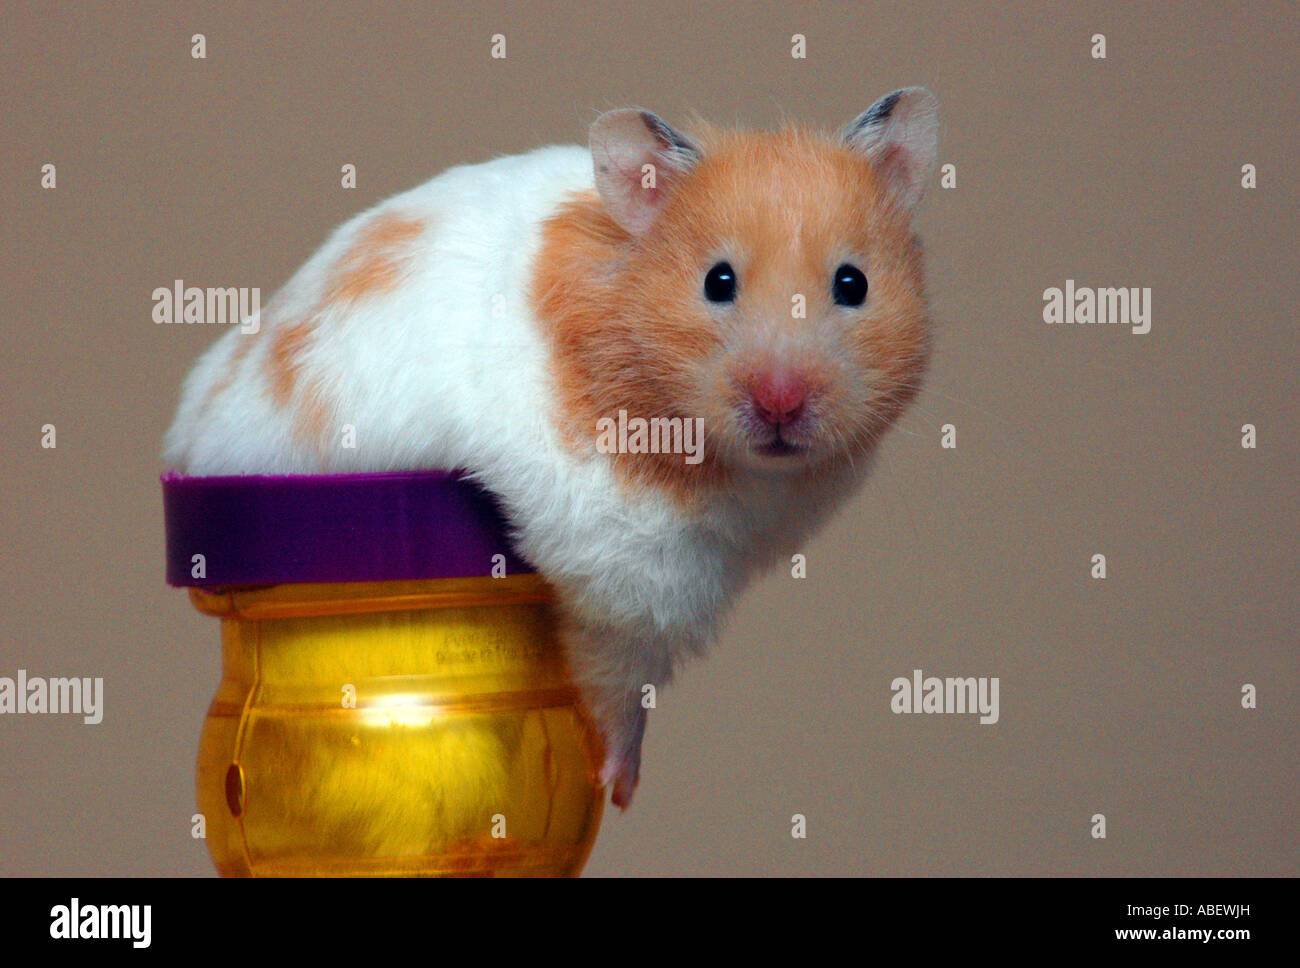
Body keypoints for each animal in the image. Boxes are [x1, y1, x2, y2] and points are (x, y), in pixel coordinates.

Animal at [164, 88, 939, 808]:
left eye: (852, 283)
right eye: (717, 281)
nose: (781, 403)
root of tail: (192, 430)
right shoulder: (622, 564)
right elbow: (619, 678)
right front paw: (617, 790)